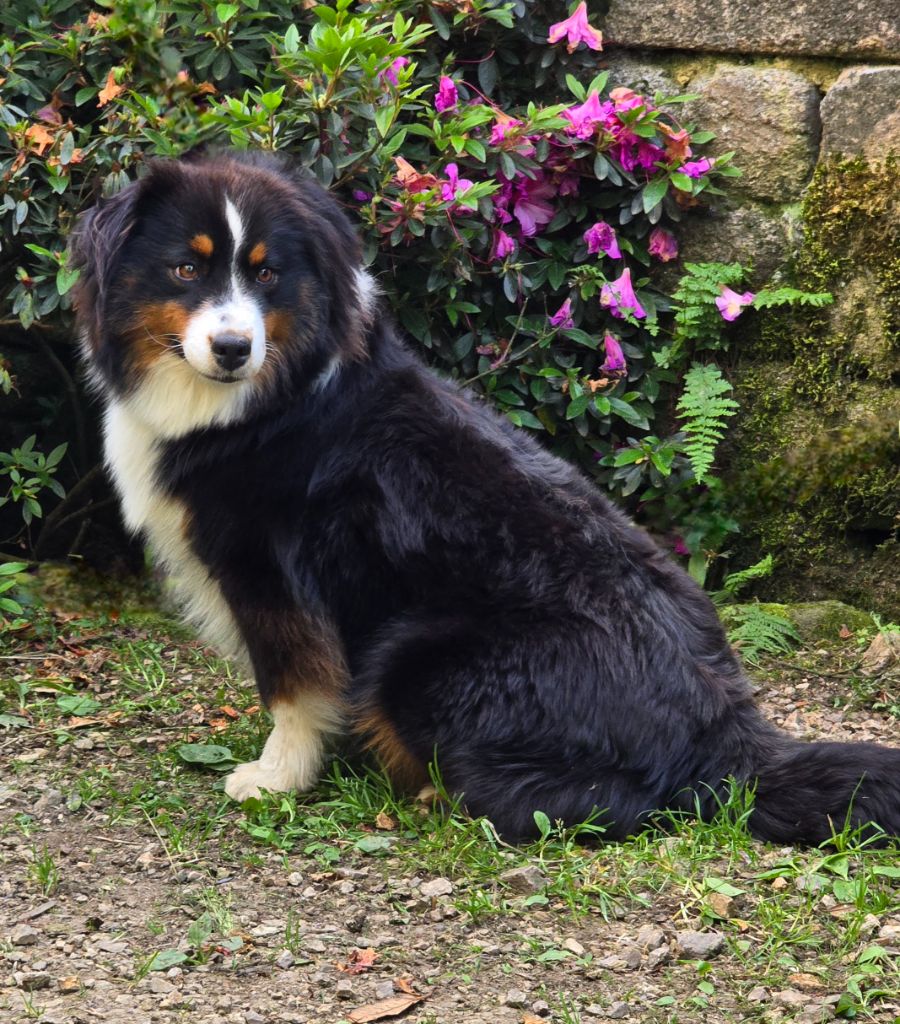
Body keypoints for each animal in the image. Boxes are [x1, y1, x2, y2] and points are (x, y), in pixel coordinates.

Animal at [72, 149, 900, 839]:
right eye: (186, 270)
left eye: (267, 274)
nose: (233, 347)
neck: (272, 396)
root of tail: (729, 743)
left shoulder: (270, 575)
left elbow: (293, 688)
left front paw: (275, 776)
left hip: (415, 658)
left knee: (612, 804)